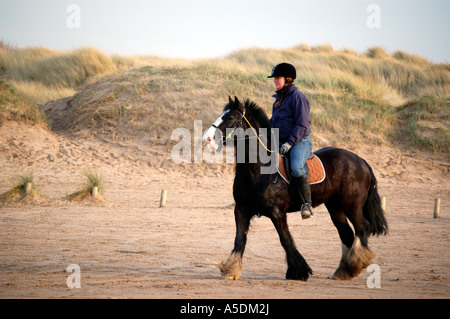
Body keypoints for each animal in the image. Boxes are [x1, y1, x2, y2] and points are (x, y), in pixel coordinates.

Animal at [202, 96, 388, 282]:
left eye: (230, 117)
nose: (206, 139)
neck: (259, 169)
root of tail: (360, 160)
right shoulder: (241, 210)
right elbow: (239, 239)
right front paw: (231, 269)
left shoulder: (277, 212)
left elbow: (285, 239)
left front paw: (298, 271)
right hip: (335, 207)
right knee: (346, 233)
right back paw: (344, 271)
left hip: (352, 205)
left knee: (362, 228)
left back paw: (354, 265)